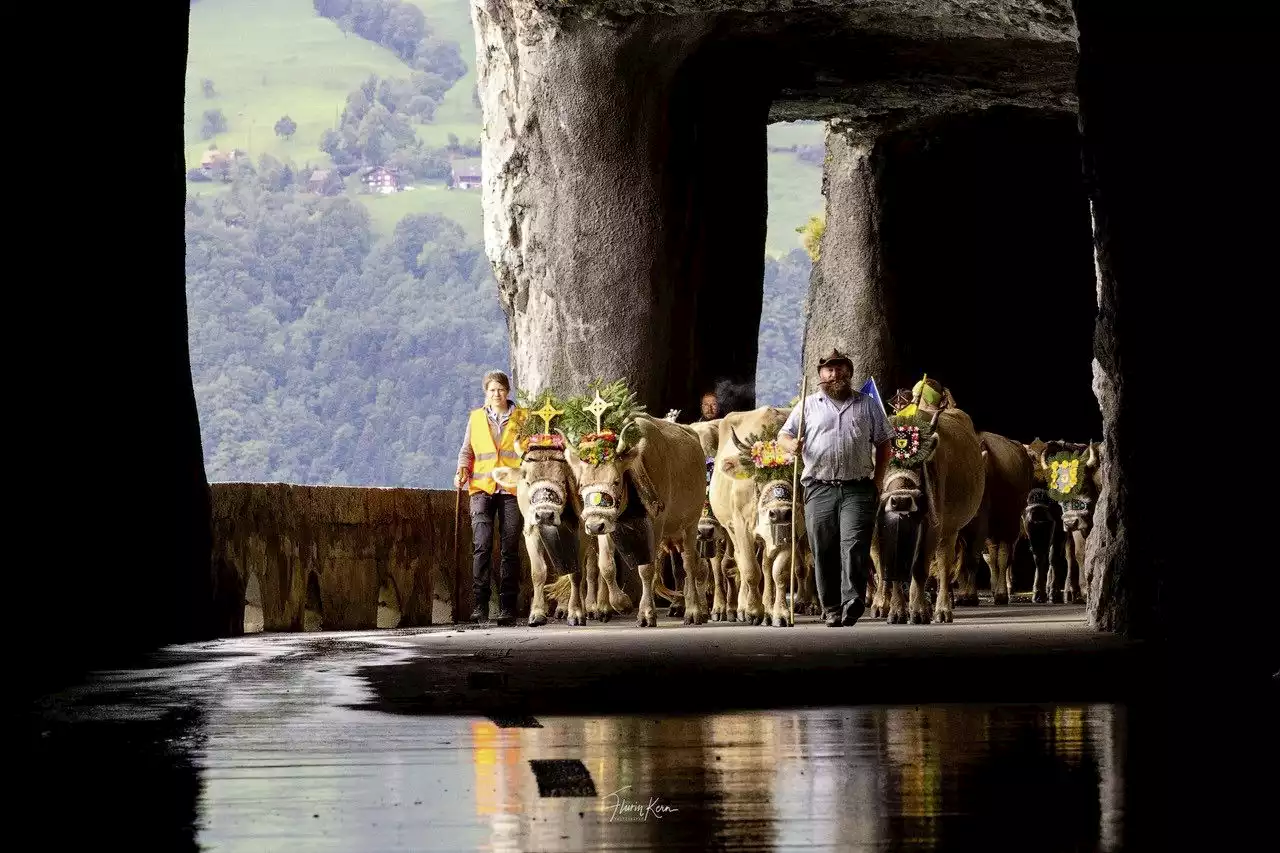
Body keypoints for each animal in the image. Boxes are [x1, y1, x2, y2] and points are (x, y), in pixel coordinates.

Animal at [565, 409, 706, 622]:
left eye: (616, 481)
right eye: (582, 483)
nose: (593, 526)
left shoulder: (656, 524)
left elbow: (647, 569)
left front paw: (646, 612)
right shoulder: (607, 523)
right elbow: (606, 566)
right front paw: (621, 603)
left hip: (691, 523)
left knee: (690, 564)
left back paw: (694, 610)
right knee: (684, 567)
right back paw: (680, 604)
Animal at [711, 404, 808, 625]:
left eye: (795, 476)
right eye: (759, 477)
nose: (779, 512)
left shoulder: (790, 529)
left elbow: (779, 573)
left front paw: (780, 614)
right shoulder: (741, 527)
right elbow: (749, 570)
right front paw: (753, 611)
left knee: (766, 566)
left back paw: (769, 609)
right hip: (731, 529)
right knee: (740, 563)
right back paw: (741, 608)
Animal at [875, 402, 983, 622]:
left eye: (917, 464)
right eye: (883, 464)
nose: (901, 500)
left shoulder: (932, 528)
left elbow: (920, 568)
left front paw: (918, 611)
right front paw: (897, 612)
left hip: (949, 531)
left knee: (943, 567)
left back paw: (942, 610)